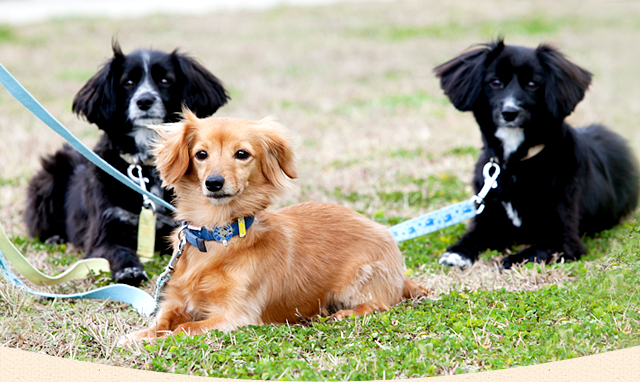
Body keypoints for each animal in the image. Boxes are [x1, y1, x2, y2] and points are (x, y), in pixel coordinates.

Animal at [25, 42, 230, 286]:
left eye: (165, 80)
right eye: (128, 82)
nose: (144, 101)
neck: (144, 166)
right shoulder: (103, 233)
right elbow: (119, 250)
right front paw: (129, 271)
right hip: (49, 177)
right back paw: (54, 237)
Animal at [122, 110, 428, 344]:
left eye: (242, 154)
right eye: (200, 154)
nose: (214, 183)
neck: (217, 235)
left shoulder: (237, 316)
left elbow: (186, 327)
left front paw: (158, 339)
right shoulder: (176, 299)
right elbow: (163, 319)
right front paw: (142, 335)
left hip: (361, 276)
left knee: (378, 303)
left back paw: (345, 313)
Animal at [432, 38, 636, 268]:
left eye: (532, 84)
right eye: (495, 82)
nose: (509, 113)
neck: (515, 164)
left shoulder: (563, 238)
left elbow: (528, 254)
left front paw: (506, 261)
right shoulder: (489, 219)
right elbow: (474, 236)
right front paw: (457, 253)